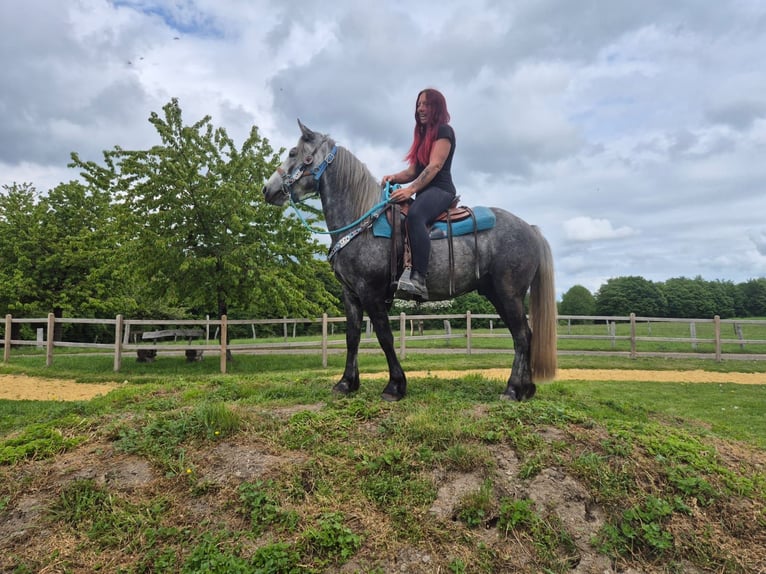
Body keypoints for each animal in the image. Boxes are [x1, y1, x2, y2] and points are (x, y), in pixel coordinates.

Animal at [263, 120, 557, 401]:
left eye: (293, 152)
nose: (268, 189)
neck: (363, 223)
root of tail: (531, 229)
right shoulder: (350, 293)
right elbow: (352, 337)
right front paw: (346, 383)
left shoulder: (371, 292)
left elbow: (385, 336)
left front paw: (395, 386)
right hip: (497, 294)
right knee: (524, 335)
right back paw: (526, 388)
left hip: (508, 293)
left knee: (522, 336)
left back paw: (512, 390)